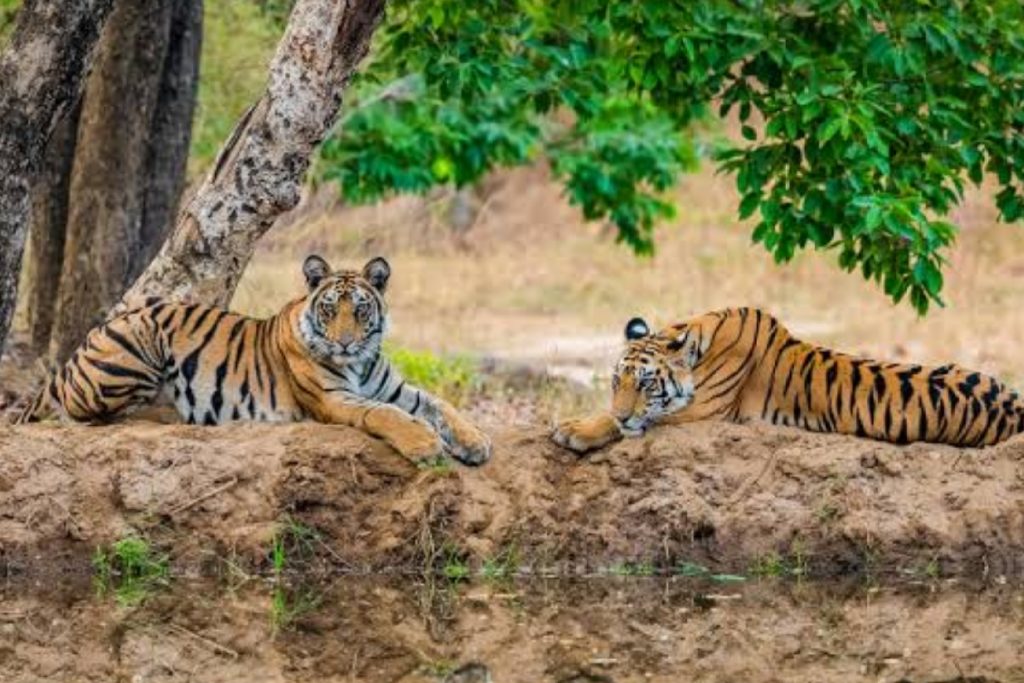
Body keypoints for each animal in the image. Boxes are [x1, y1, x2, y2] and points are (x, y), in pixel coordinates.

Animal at [17, 253, 491, 466]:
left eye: (359, 310)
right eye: (329, 310)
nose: (344, 344)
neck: (360, 362)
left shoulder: (394, 388)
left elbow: (438, 404)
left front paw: (475, 441)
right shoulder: (334, 399)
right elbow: (386, 415)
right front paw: (425, 444)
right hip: (139, 341)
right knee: (88, 415)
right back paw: (172, 414)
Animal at [552, 307, 1024, 450]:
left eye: (647, 384)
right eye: (616, 382)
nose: (625, 413)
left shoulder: (702, 411)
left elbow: (624, 421)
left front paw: (572, 428)